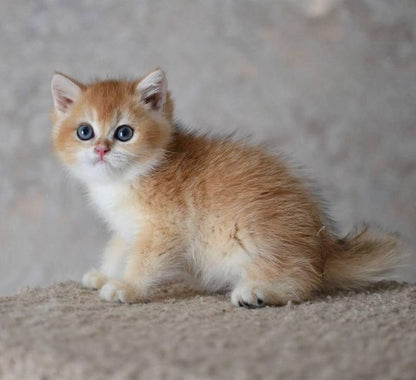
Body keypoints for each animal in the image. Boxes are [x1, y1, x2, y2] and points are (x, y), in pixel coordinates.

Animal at [49, 67, 400, 306]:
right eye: (85, 131)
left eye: (124, 133)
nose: (101, 149)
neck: (131, 177)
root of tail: (324, 248)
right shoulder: (129, 228)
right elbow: (118, 249)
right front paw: (107, 274)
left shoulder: (165, 228)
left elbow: (144, 261)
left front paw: (128, 287)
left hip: (255, 234)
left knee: (304, 281)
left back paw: (260, 292)